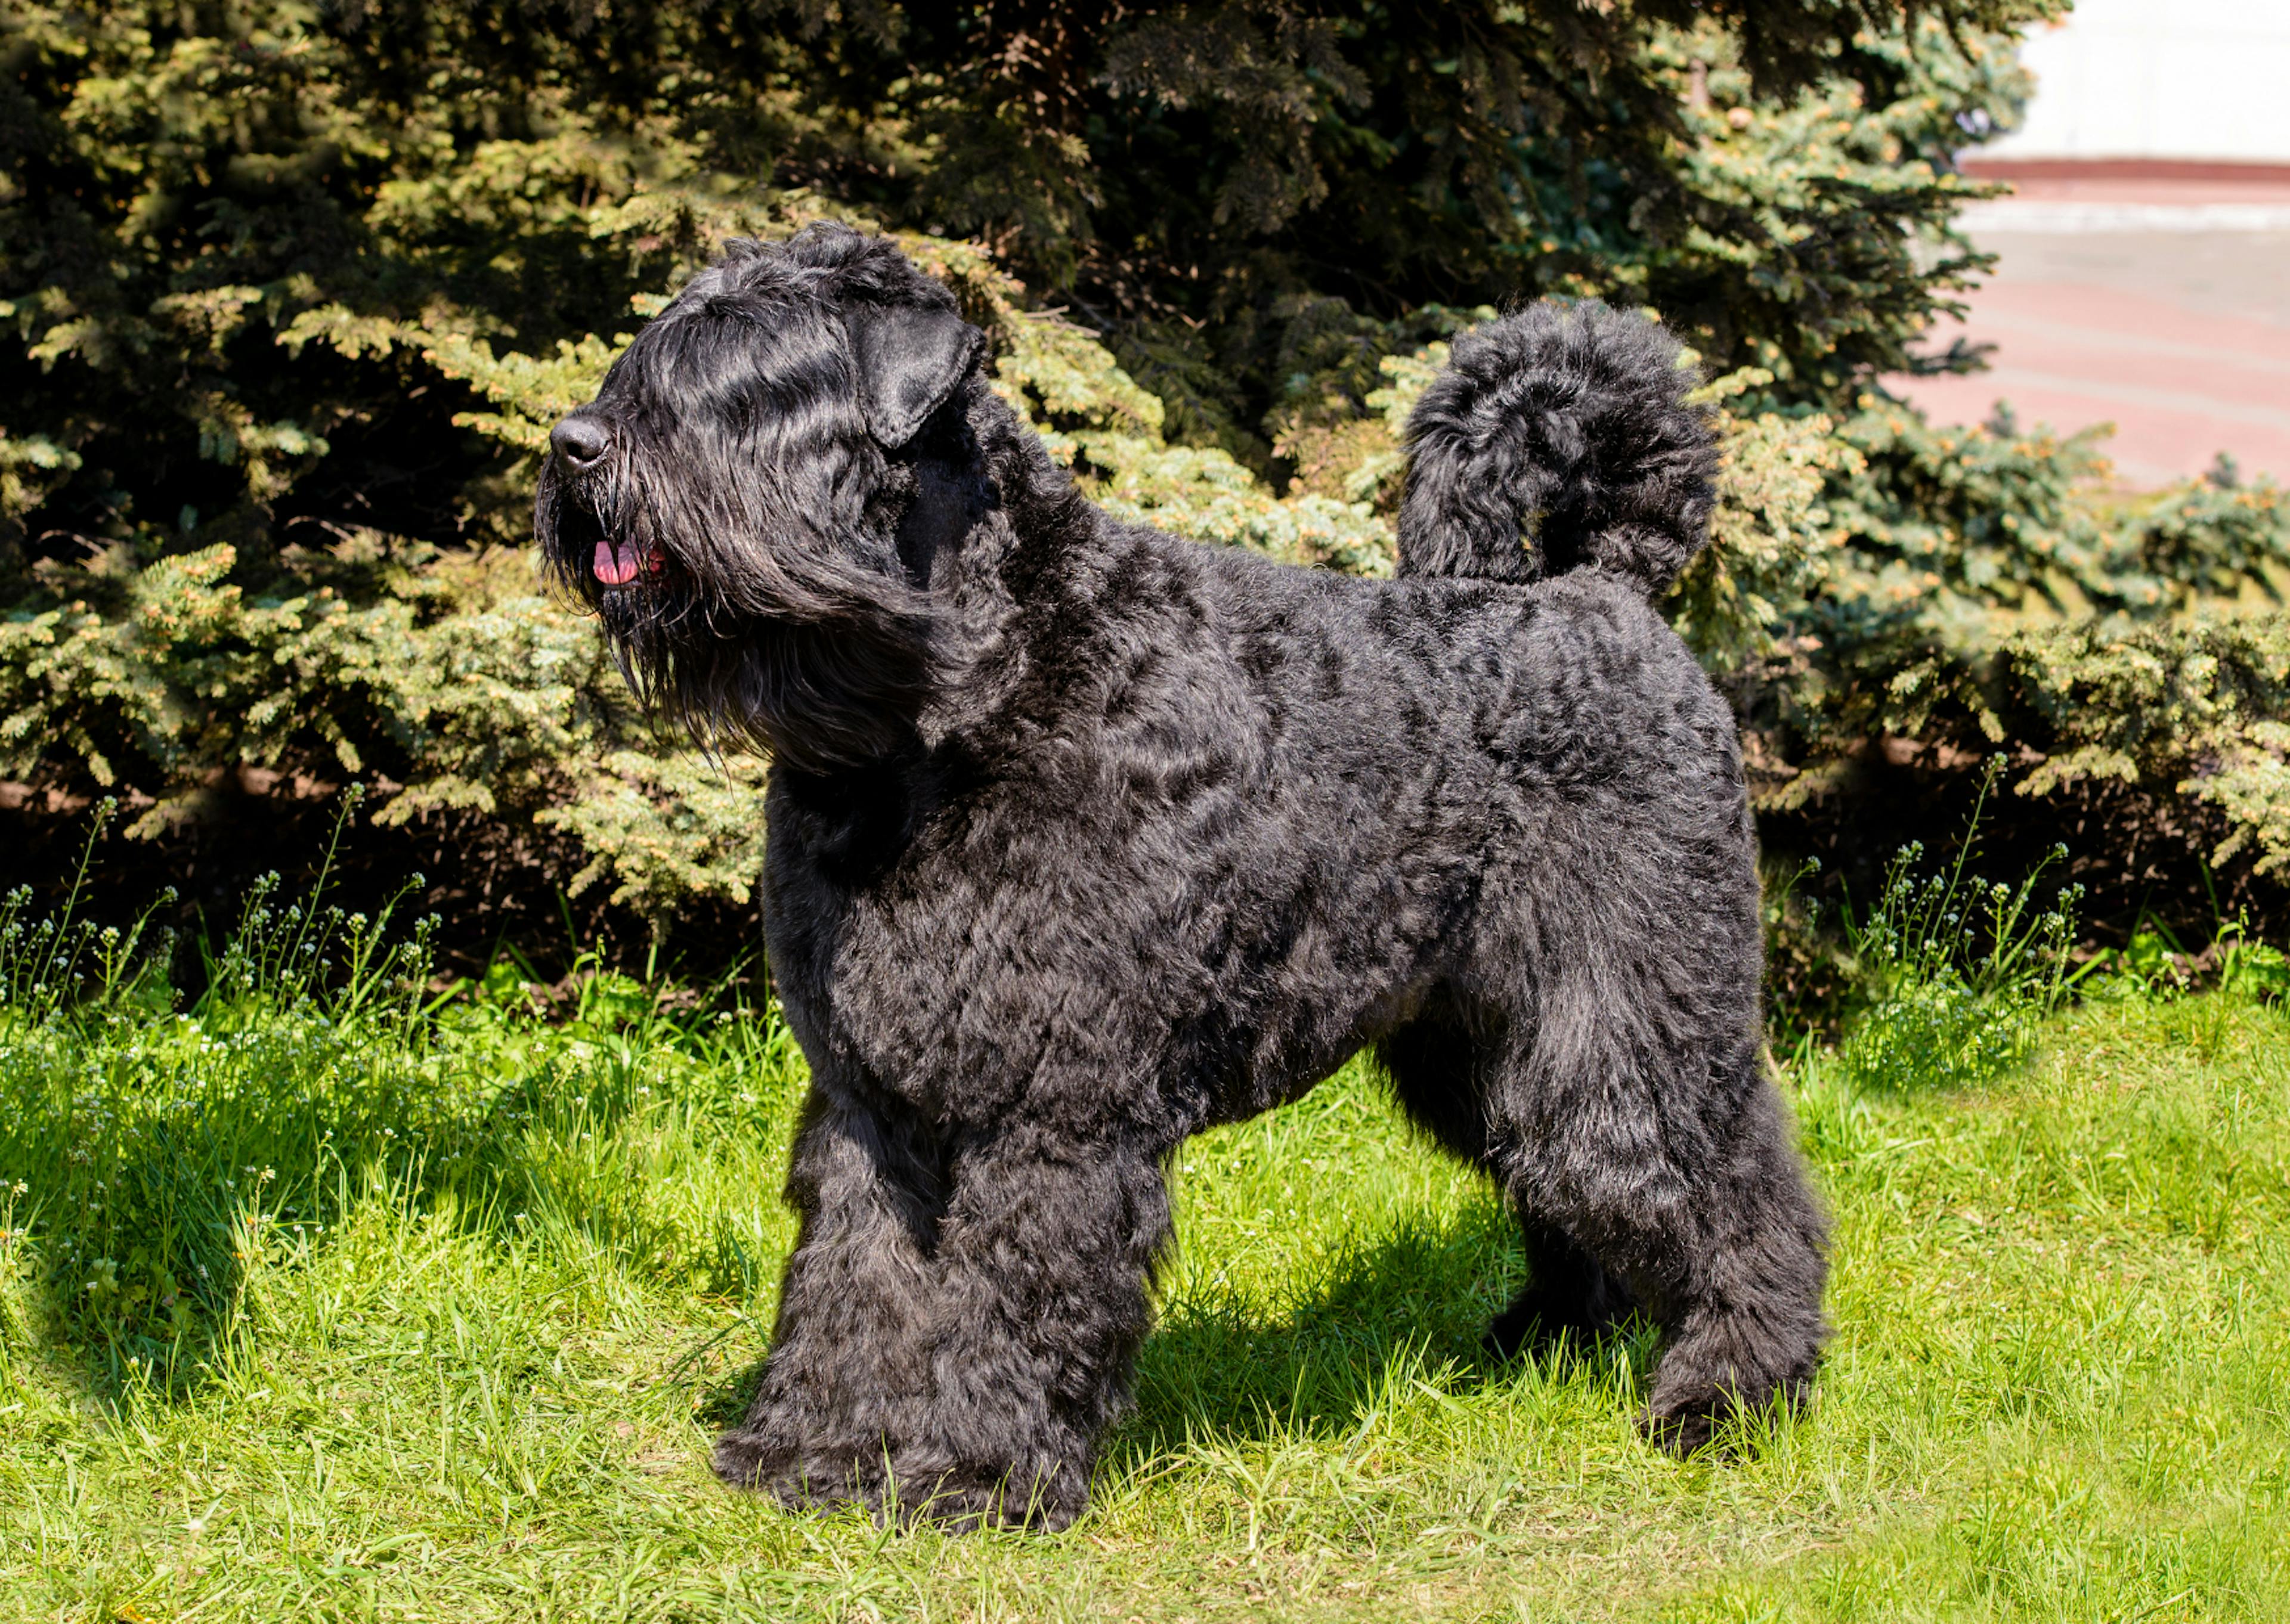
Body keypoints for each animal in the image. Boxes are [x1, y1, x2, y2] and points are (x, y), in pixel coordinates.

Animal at [531, 222, 1822, 1530]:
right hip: (1486, 1044)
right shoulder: (868, 1093)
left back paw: (1731, 1397)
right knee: (1562, 1174)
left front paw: (982, 1474)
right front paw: (817, 1454)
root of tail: (1604, 588)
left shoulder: (1054, 1101)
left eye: (762, 375)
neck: (957, 699)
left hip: (1630, 1013)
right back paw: (1546, 1339)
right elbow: (856, 1281)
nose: (574, 443)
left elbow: (1012, 1290)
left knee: (1729, 1187)